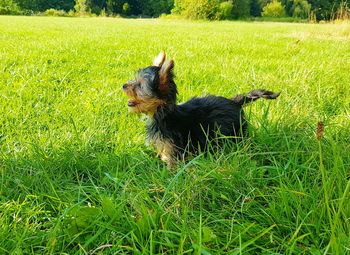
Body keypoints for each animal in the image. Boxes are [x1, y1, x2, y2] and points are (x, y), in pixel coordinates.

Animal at [121, 52, 280, 167]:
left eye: (139, 86)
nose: (124, 85)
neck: (162, 114)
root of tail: (235, 101)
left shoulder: (173, 146)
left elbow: (172, 163)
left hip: (236, 132)